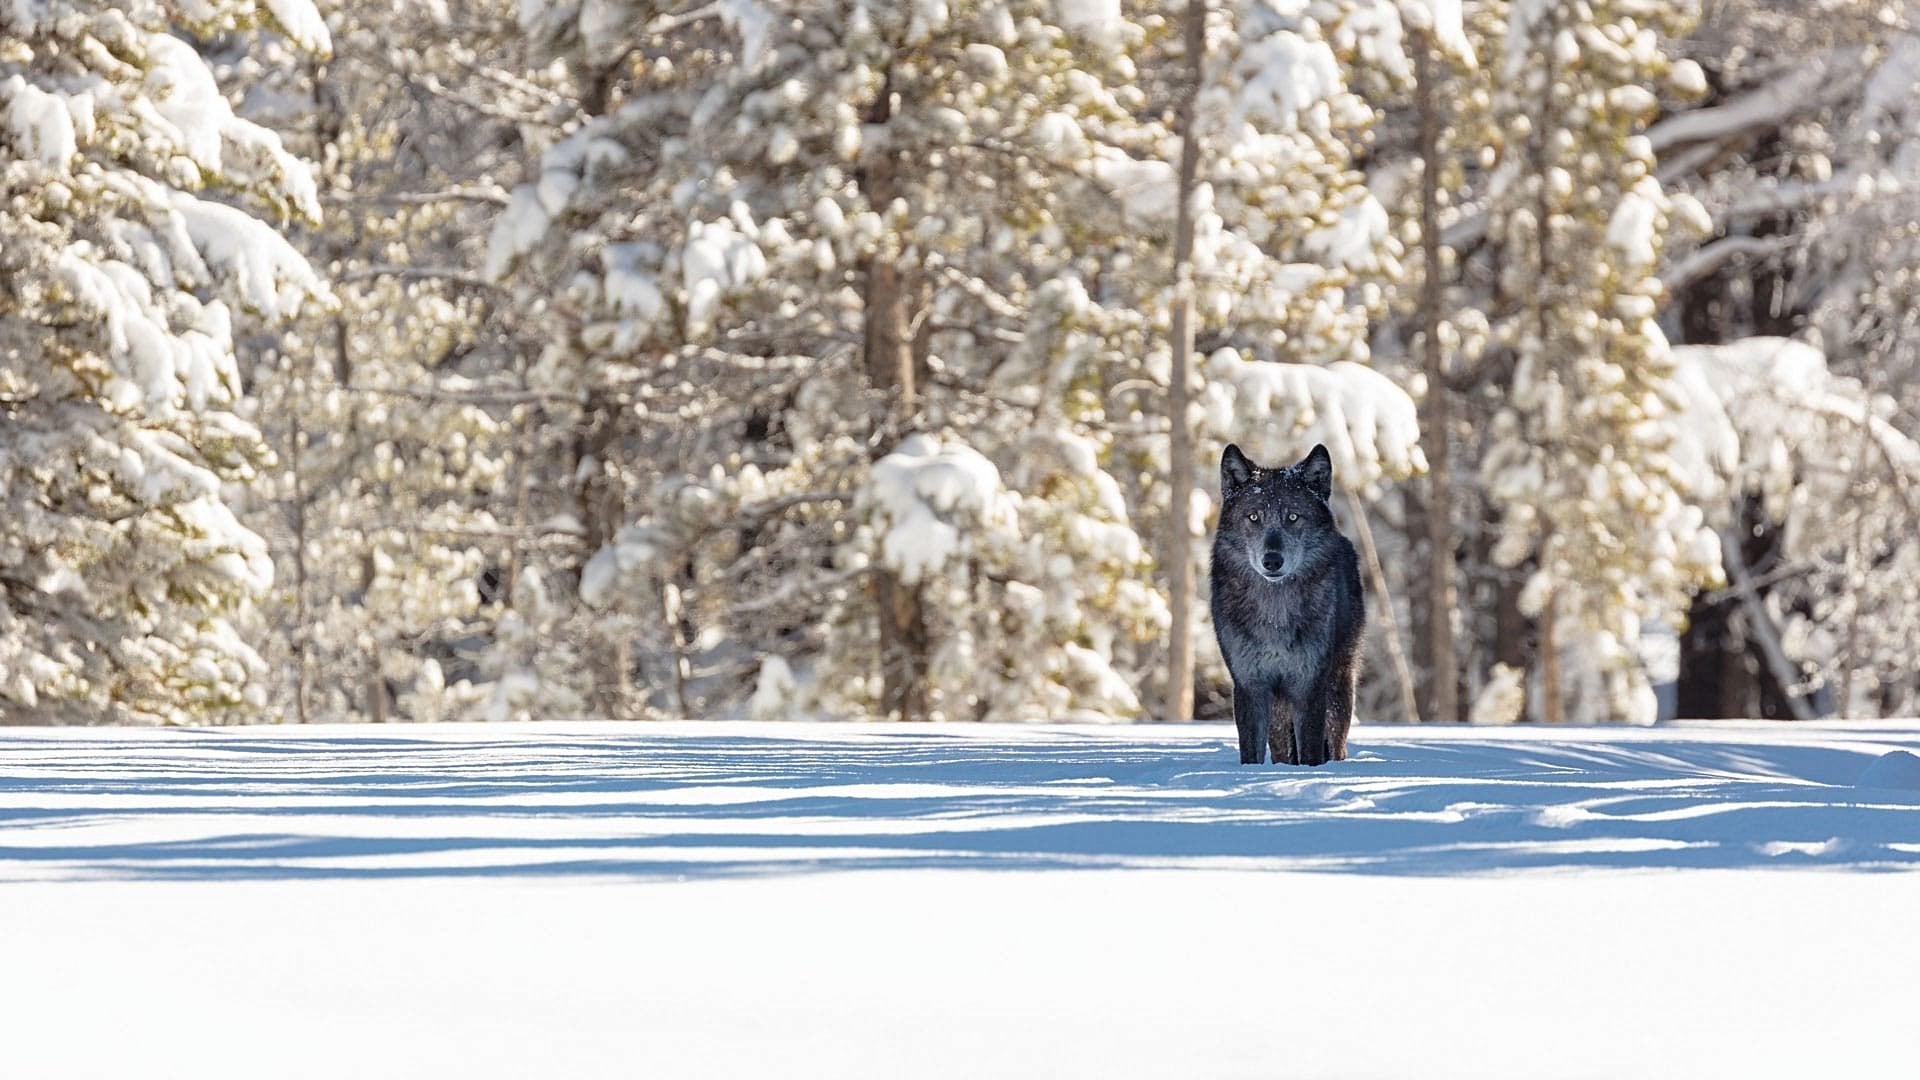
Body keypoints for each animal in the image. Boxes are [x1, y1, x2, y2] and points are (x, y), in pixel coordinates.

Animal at [1209, 443, 1364, 765]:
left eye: (1293, 517)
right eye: (1253, 517)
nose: (1272, 560)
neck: (1275, 613)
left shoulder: (1310, 684)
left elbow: (1311, 750)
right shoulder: (1250, 685)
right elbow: (1250, 752)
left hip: (1339, 687)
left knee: (1336, 743)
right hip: (1280, 709)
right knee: (1282, 748)